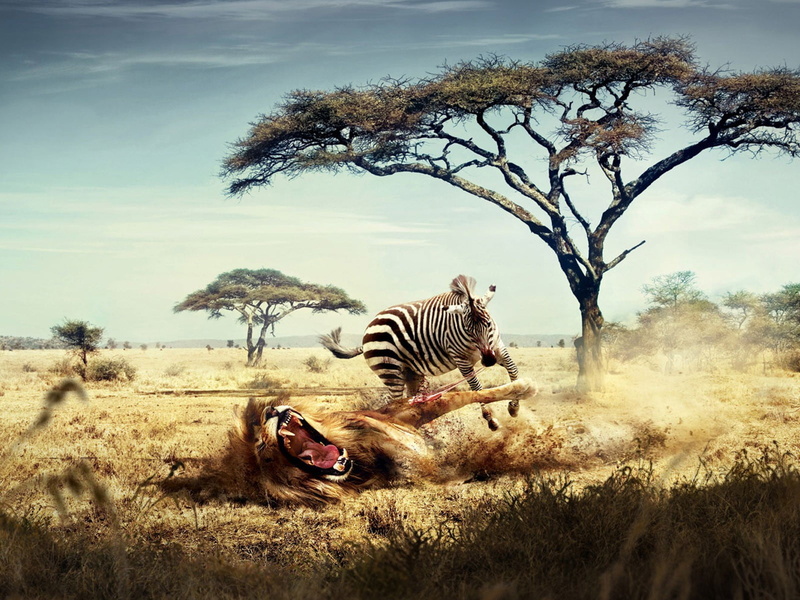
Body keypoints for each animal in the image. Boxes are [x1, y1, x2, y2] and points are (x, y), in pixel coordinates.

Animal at [208, 378, 537, 507]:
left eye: (262, 440)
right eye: (262, 450)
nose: (271, 411)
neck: (359, 459)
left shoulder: (404, 414)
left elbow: (461, 395)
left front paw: (522, 388)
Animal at [319, 275, 520, 430]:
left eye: (488, 324)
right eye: (468, 330)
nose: (488, 361)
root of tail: (369, 327)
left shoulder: (497, 347)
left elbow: (514, 371)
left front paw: (514, 407)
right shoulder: (461, 359)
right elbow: (477, 389)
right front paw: (491, 419)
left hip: (411, 372)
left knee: (409, 402)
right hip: (389, 370)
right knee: (393, 403)